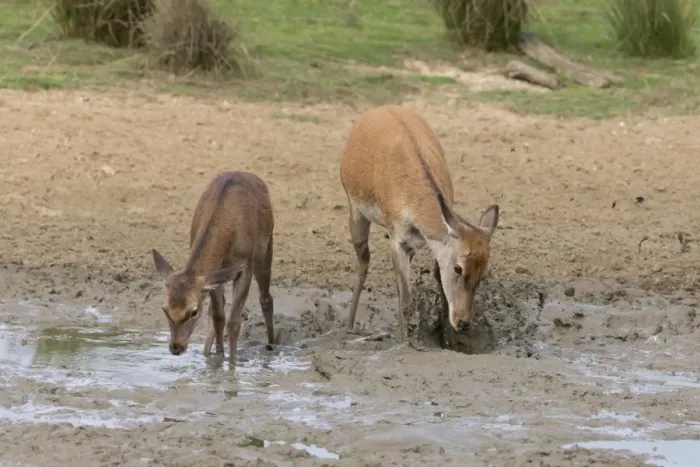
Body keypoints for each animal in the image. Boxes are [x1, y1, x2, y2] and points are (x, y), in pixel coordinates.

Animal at [150, 171, 276, 367]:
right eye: (164, 308)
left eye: (194, 311)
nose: (176, 347)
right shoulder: (214, 275)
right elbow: (218, 316)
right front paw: (218, 360)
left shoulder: (245, 265)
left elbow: (234, 321)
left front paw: (232, 366)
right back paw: (206, 353)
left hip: (266, 246)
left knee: (266, 298)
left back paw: (271, 346)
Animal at [339, 105, 500, 340]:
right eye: (458, 268)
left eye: (484, 273)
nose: (463, 323)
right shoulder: (397, 238)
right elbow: (406, 300)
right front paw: (409, 341)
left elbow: (434, 282)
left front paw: (446, 339)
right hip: (355, 210)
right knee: (363, 262)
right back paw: (349, 326)